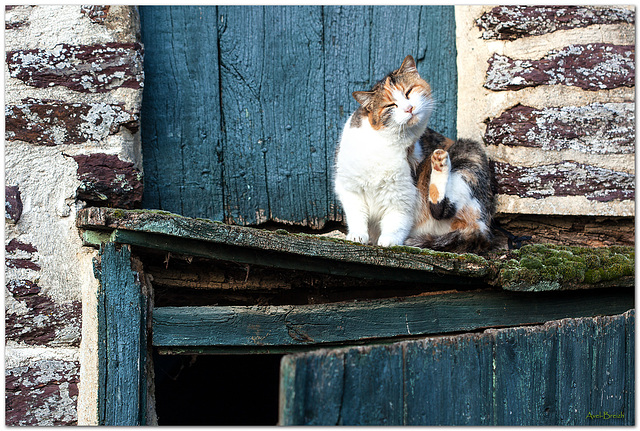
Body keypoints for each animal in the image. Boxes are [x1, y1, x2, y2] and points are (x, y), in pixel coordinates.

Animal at [336, 55, 496, 255]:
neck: (384, 142)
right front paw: (357, 236)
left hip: (468, 152)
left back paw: (440, 163)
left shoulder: (404, 191)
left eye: (409, 92)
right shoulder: (350, 187)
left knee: (442, 208)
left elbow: (397, 220)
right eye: (391, 105)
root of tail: (483, 229)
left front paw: (389, 240)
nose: (409, 108)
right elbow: (356, 215)